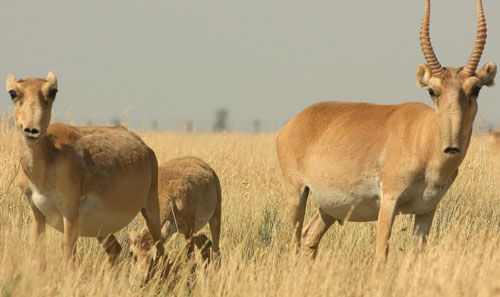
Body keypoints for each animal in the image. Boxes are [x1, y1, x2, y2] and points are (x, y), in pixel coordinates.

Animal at [5, 71, 164, 264]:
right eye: (13, 92)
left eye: (53, 91)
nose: (32, 130)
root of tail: (145, 147)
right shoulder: (37, 215)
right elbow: (40, 261)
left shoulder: (70, 215)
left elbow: (68, 260)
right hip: (101, 229)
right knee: (115, 249)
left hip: (151, 212)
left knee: (163, 252)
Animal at [276, 0, 498, 260]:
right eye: (432, 90)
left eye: (476, 89)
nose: (452, 146)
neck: (423, 136)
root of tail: (293, 123)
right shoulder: (389, 202)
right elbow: (381, 254)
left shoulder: (427, 210)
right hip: (297, 193)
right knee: (295, 240)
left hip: (327, 208)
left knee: (310, 237)